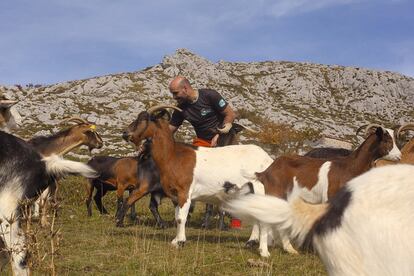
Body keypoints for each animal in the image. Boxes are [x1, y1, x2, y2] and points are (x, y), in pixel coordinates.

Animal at [121, 105, 274, 256]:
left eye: (143, 119)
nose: (125, 133)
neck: (173, 156)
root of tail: (267, 158)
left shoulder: (185, 192)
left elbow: (181, 218)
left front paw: (181, 242)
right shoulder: (175, 195)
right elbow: (177, 217)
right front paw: (175, 241)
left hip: (260, 189)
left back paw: (263, 251)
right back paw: (251, 242)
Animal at [249, 124, 402, 256]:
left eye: (396, 139)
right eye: (387, 140)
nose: (399, 156)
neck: (349, 167)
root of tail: (267, 170)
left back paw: (289, 249)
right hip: (274, 192)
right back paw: (264, 252)